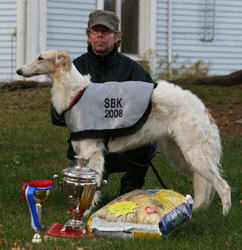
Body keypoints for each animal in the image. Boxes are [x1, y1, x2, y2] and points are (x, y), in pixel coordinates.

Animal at [16, 49, 232, 215]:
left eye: (40, 58)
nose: (18, 70)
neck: (76, 92)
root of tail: (202, 107)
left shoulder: (93, 153)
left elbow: (92, 188)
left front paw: (84, 213)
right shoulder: (83, 153)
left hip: (195, 155)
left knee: (223, 186)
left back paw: (224, 216)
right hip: (181, 156)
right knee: (206, 184)